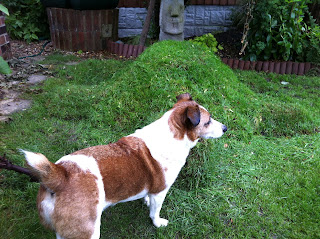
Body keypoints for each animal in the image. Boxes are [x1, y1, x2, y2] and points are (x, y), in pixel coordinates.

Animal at [21, 93, 226, 239]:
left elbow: (147, 197)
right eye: (208, 121)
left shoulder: (152, 190)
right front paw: (157, 222)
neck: (171, 134)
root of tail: (61, 174)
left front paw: (145, 200)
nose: (225, 128)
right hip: (88, 232)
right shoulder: (160, 192)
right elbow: (155, 211)